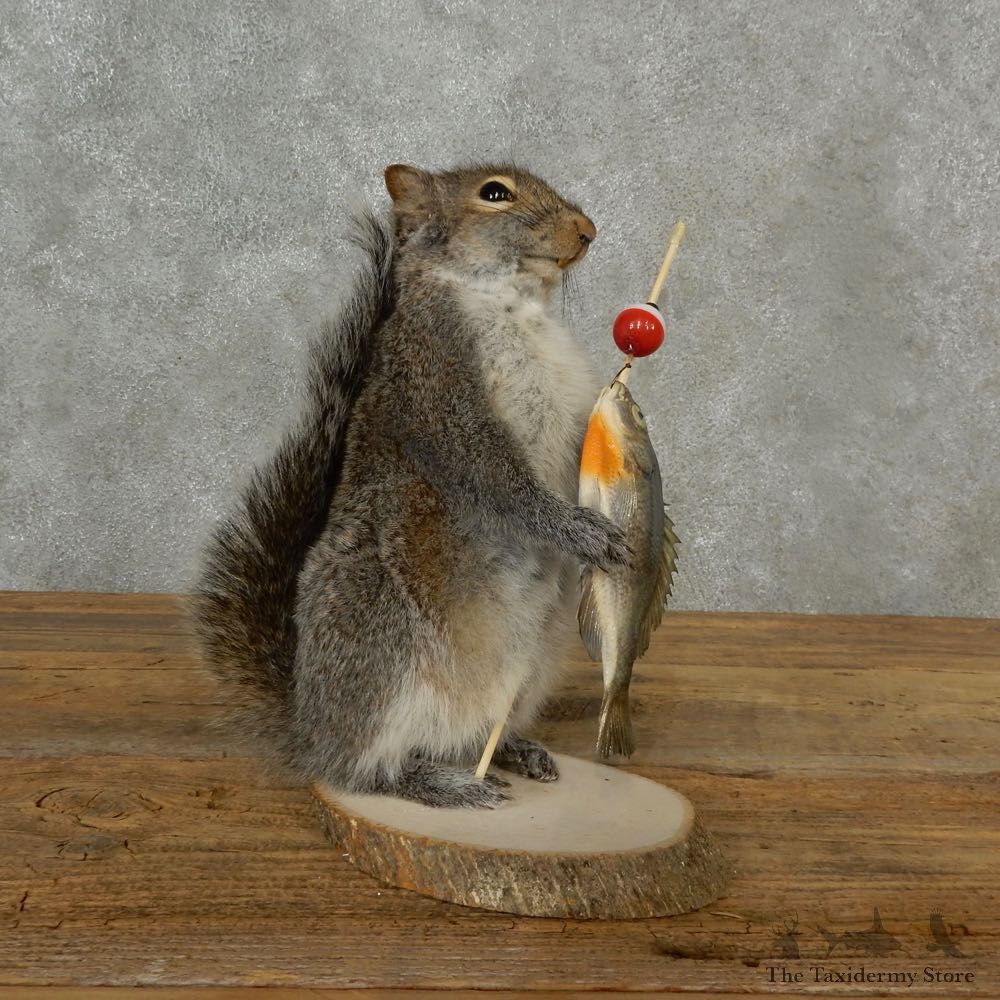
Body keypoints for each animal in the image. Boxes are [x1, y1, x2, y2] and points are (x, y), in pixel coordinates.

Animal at [193, 163, 631, 808]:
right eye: (494, 194)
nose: (587, 231)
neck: (512, 305)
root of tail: (310, 726)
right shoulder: (436, 384)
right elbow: (496, 478)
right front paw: (578, 531)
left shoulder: (574, 406)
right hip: (383, 654)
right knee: (361, 771)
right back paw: (439, 784)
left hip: (536, 666)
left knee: (473, 737)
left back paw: (512, 750)